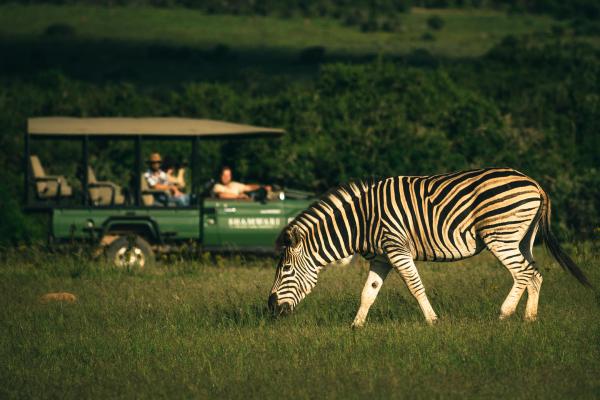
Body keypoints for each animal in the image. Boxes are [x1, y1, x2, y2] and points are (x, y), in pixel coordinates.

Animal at [268, 167, 592, 326]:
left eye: (285, 270)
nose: (270, 308)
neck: (361, 221)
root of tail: (534, 183)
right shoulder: (381, 258)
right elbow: (368, 293)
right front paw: (356, 327)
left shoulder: (396, 248)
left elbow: (415, 286)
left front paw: (432, 321)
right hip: (522, 238)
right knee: (535, 274)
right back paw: (529, 319)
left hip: (500, 235)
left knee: (523, 273)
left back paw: (504, 314)